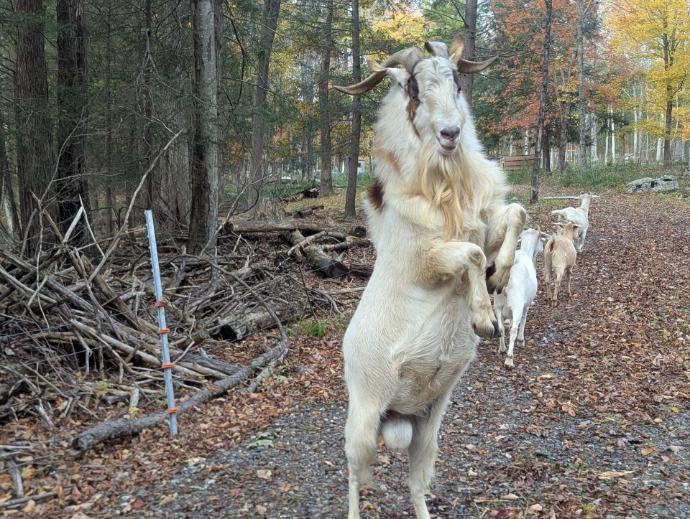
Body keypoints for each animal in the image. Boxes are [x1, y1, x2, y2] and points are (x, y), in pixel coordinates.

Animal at [334, 34, 526, 519]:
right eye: (414, 89)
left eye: (456, 81)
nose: (450, 133)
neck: (442, 190)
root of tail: (395, 416)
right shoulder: (425, 258)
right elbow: (471, 254)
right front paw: (482, 317)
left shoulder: (484, 222)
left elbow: (514, 215)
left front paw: (500, 277)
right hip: (362, 422)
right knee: (353, 475)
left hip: (428, 427)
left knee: (415, 482)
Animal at [493, 228, 546, 368]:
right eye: (540, 239)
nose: (542, 248)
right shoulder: (526, 304)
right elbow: (523, 319)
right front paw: (521, 340)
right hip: (517, 304)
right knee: (513, 330)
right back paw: (509, 359)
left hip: (498, 304)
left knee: (501, 328)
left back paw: (502, 349)